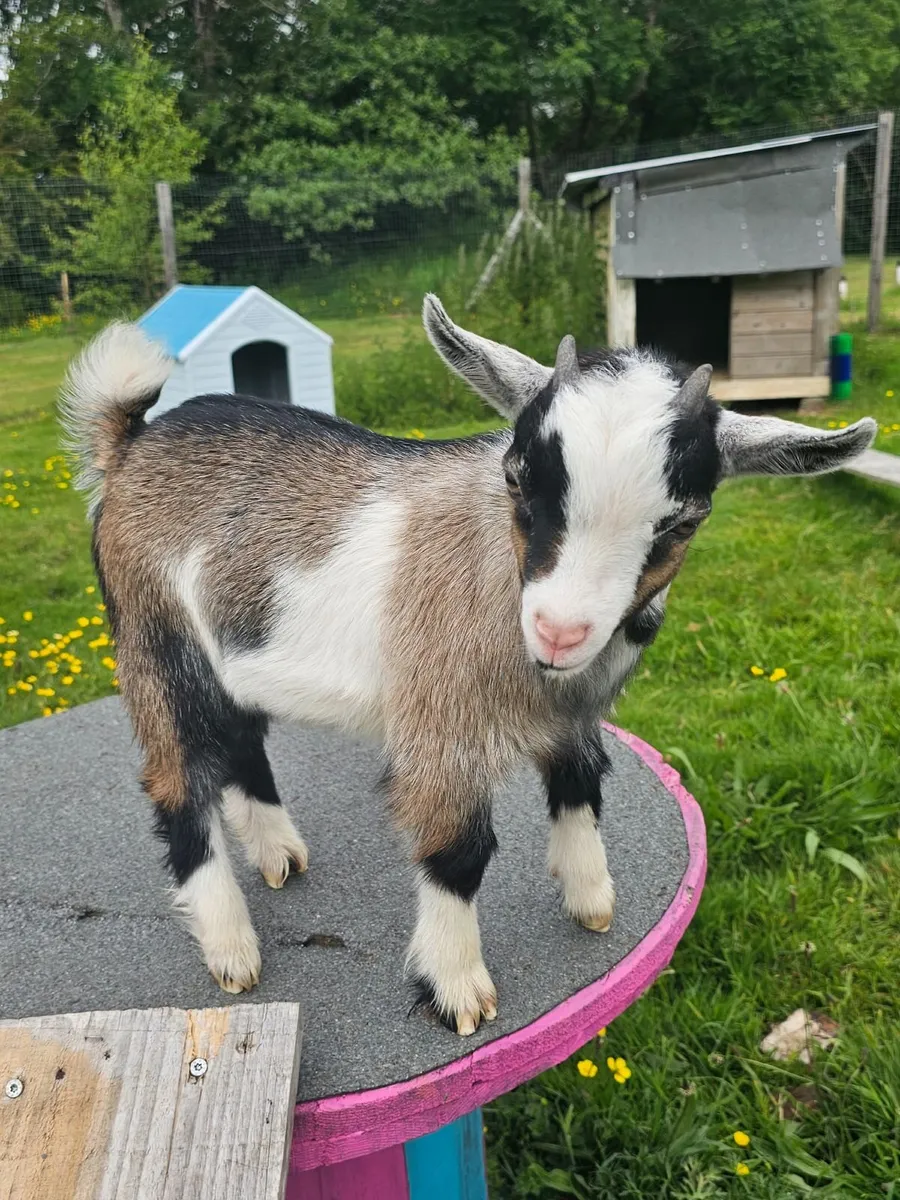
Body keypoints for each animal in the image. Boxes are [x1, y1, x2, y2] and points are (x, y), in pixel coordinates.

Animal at [61, 297, 875, 1034]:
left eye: (683, 519)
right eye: (516, 476)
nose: (558, 630)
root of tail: (130, 443)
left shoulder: (576, 712)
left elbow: (582, 781)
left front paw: (591, 896)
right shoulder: (441, 726)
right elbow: (458, 852)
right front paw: (455, 987)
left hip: (231, 649)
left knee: (237, 738)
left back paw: (276, 853)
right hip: (153, 641)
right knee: (177, 781)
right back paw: (232, 948)